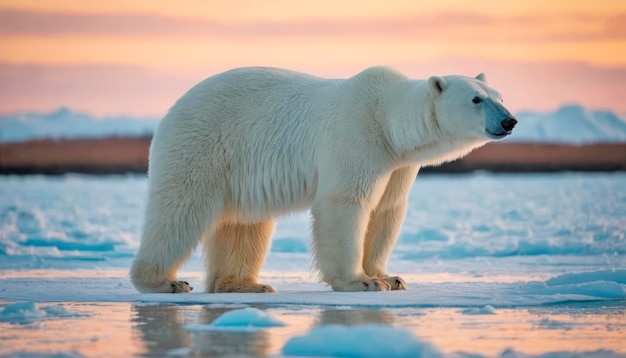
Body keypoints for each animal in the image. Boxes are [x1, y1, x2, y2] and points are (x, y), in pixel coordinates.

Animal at [129, 66, 516, 294]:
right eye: (477, 99)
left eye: (500, 96)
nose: (509, 121)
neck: (387, 119)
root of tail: (172, 109)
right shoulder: (357, 135)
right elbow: (347, 202)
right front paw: (361, 282)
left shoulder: (397, 163)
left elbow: (387, 209)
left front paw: (390, 277)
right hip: (204, 145)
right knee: (181, 209)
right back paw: (164, 282)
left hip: (238, 172)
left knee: (244, 224)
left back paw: (245, 285)